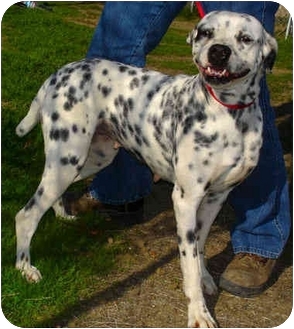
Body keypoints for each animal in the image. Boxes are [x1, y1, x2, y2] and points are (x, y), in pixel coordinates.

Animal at [15, 11, 278, 326]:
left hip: (86, 160)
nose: (218, 51)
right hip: (68, 156)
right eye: (206, 32)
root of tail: (58, 73)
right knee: (26, 215)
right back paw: (25, 269)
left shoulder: (216, 198)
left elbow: (200, 245)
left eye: (245, 38)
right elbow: (188, 262)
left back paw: (63, 215)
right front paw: (199, 313)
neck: (230, 116)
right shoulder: (186, 199)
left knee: (48, 196)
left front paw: (205, 278)